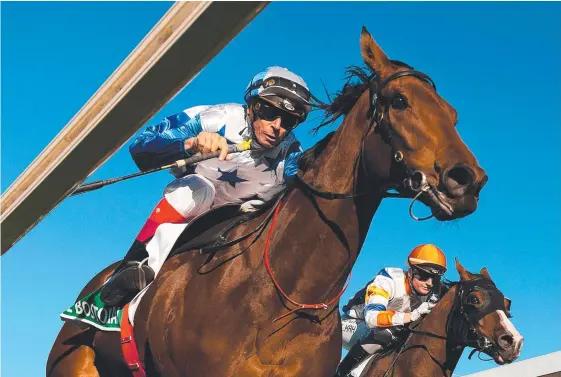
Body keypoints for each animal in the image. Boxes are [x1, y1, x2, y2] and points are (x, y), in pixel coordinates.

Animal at [48, 27, 486, 376]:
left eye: (453, 114)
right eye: (399, 101)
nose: (469, 180)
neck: (280, 296)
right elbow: (144, 142)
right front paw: (202, 143)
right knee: (196, 187)